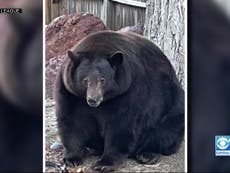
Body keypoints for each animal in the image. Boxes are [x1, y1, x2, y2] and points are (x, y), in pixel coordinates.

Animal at [55, 30, 185, 172]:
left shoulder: (128, 89)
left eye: (102, 80)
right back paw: (91, 148)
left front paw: (105, 163)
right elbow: (72, 120)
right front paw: (72, 158)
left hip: (170, 102)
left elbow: (121, 124)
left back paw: (147, 154)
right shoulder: (70, 92)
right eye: (85, 80)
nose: (93, 100)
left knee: (166, 130)